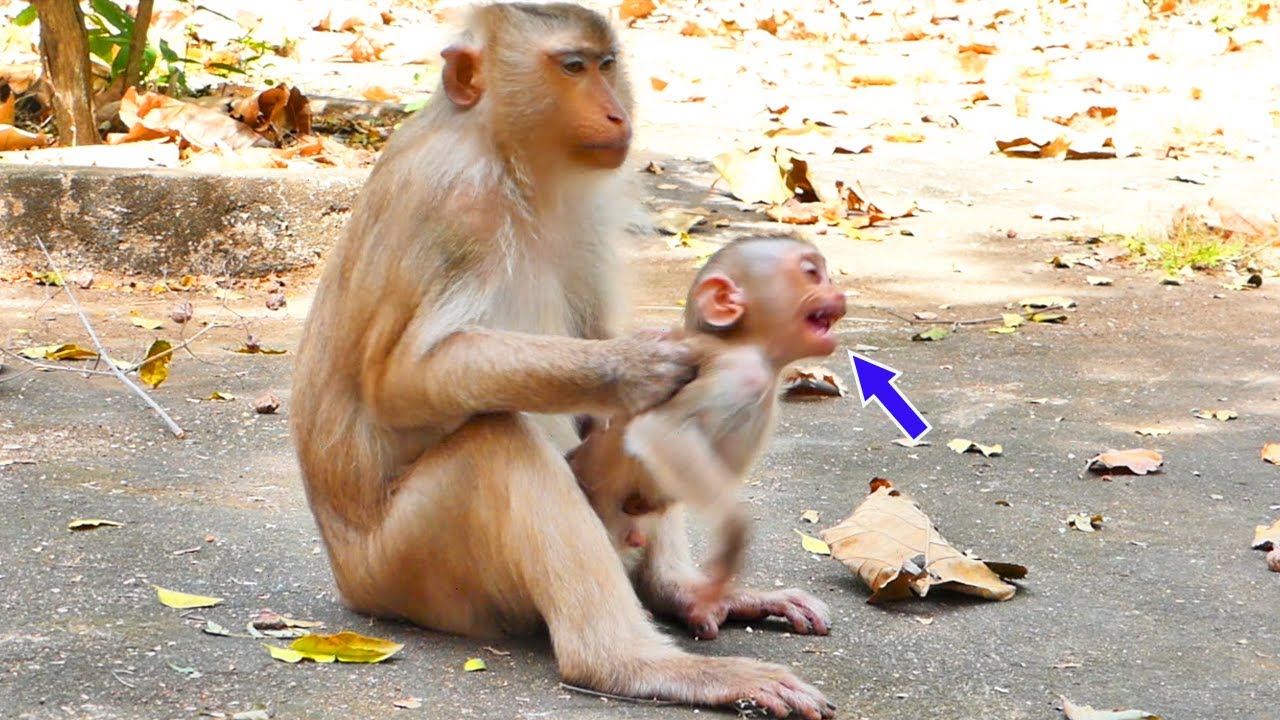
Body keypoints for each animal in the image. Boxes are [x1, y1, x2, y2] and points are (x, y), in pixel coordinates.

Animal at [570, 236, 848, 630]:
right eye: (812, 274)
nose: (838, 292)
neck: (749, 346)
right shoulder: (741, 374)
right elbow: (660, 432)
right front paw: (732, 543)